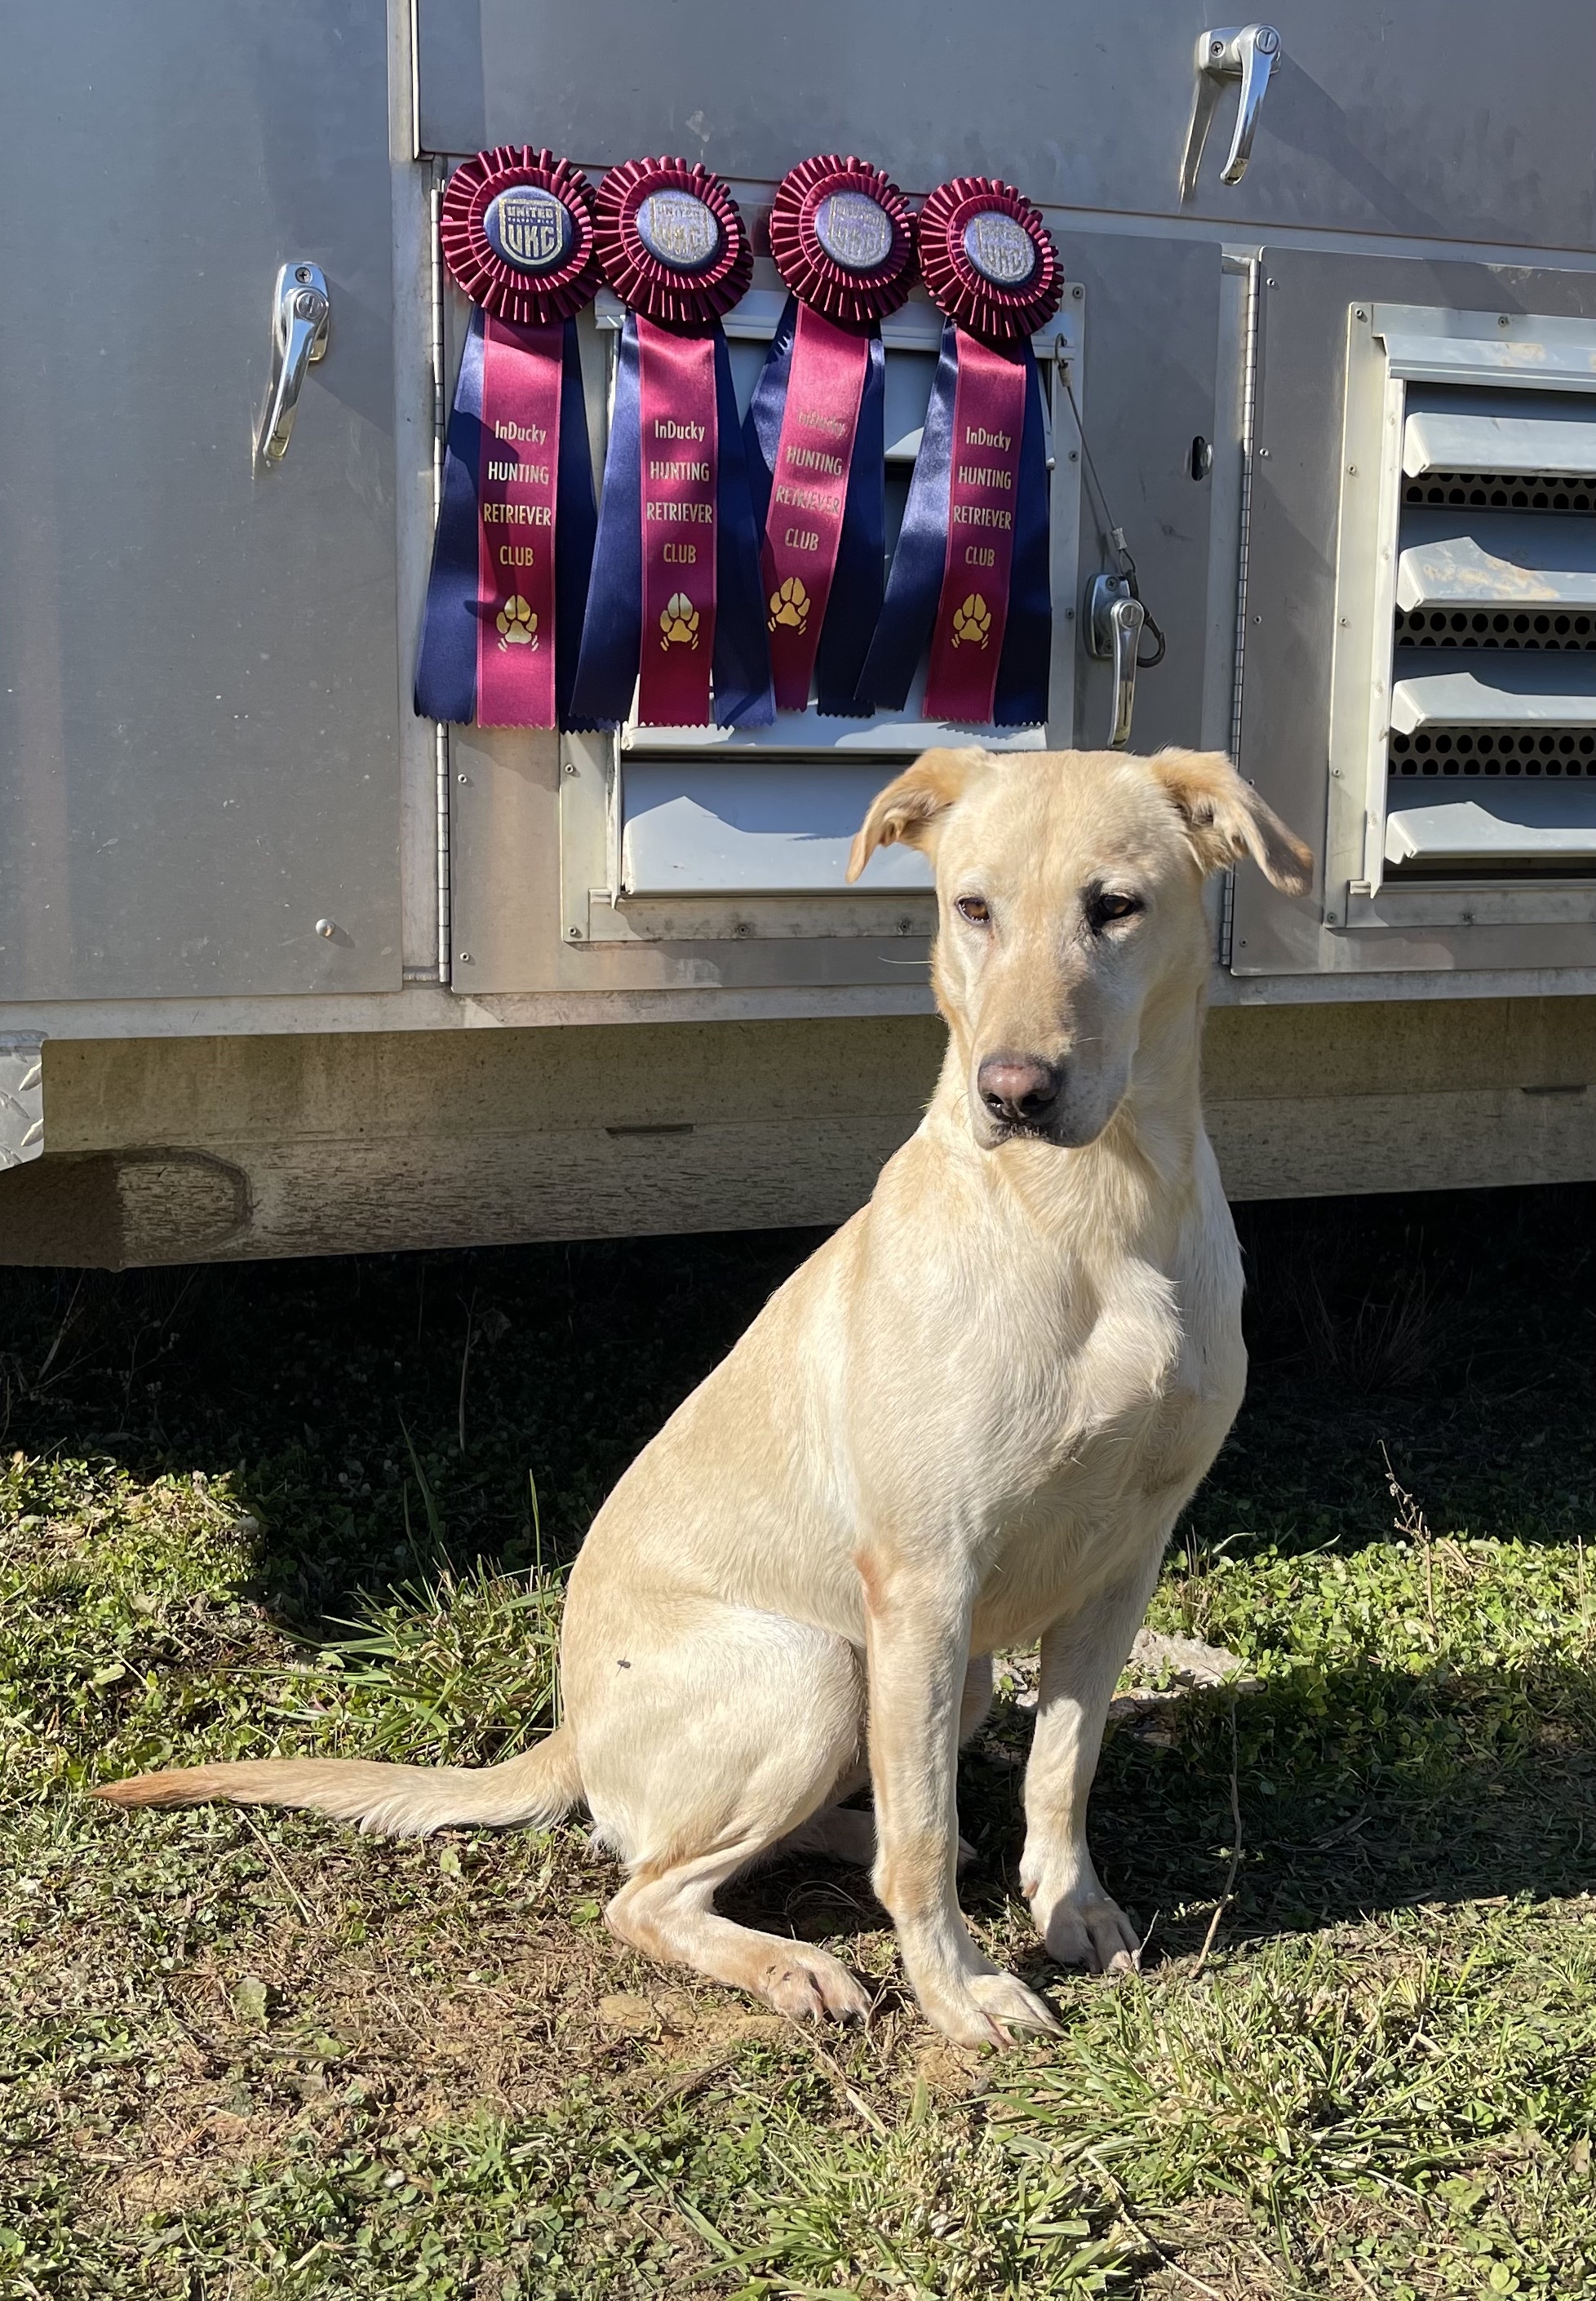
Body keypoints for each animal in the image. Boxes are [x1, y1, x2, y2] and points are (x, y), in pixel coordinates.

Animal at [97, 745, 1315, 2043]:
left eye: (1116, 906)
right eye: (972, 908)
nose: (1014, 1092)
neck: (1099, 1211)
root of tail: (573, 1732)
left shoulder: (1121, 1562)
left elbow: (1060, 1770)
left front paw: (1070, 1906)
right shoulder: (926, 1577)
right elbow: (925, 1841)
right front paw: (959, 1988)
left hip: (945, 1673)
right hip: (819, 1667)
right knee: (651, 1890)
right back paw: (789, 1960)